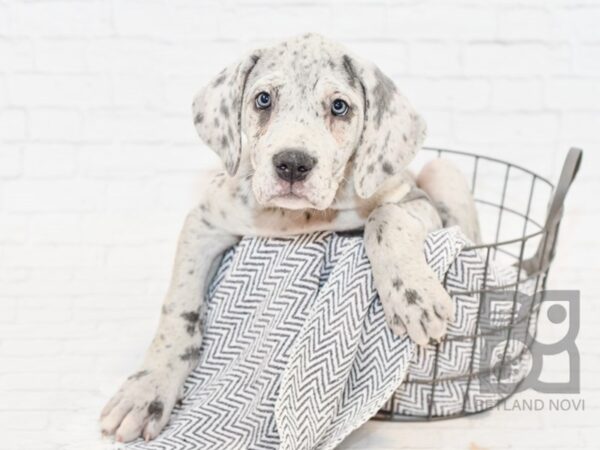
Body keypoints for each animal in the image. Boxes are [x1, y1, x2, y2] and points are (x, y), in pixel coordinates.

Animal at [101, 33, 480, 442]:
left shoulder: (414, 201)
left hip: (442, 169)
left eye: (339, 106)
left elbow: (384, 218)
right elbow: (179, 309)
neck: (299, 217)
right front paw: (147, 390)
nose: (293, 164)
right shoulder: (205, 221)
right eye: (264, 99)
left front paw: (412, 298)